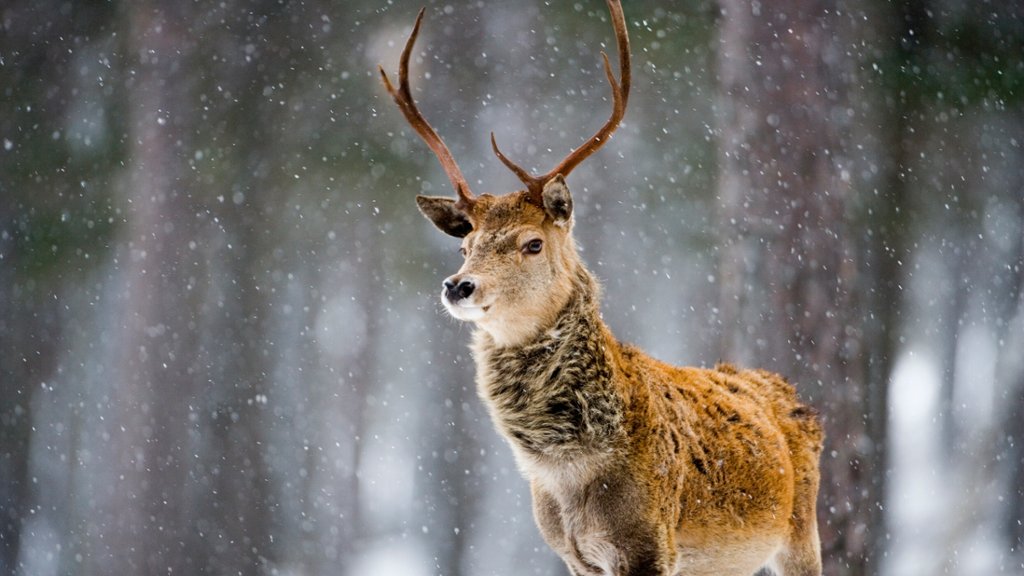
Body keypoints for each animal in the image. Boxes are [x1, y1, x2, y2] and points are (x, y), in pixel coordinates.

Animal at [379, 1, 824, 575]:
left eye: (532, 244)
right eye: (465, 246)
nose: (459, 286)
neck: (569, 472)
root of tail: (791, 396)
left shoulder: (650, 543)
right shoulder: (573, 554)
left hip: (799, 531)